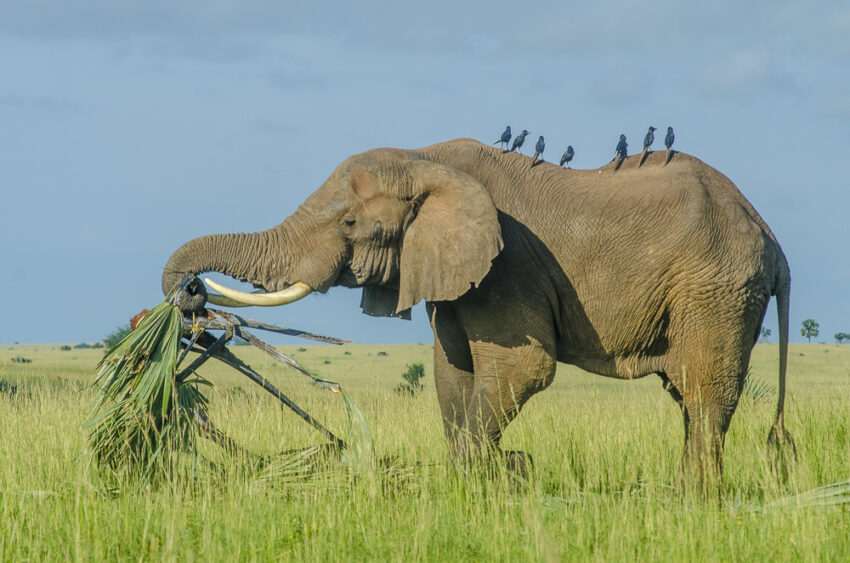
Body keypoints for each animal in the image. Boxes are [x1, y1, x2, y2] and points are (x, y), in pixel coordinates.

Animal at [162, 138, 793, 486]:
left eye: (350, 223)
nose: (190, 294)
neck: (426, 159)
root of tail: (770, 236)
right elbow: (452, 375)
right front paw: (482, 484)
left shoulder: (508, 264)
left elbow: (521, 371)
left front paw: (493, 478)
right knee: (690, 398)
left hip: (717, 288)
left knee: (704, 395)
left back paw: (692, 502)